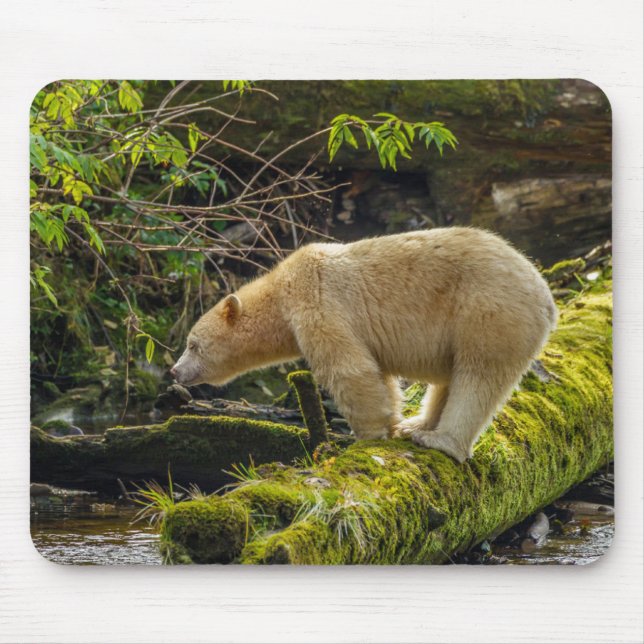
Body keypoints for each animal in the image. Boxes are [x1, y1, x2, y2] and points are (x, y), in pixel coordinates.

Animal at [170, 227, 557, 463]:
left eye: (193, 344)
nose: (174, 371)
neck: (280, 291)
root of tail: (545, 296)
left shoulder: (317, 301)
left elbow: (350, 369)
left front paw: (368, 437)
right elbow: (379, 374)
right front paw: (392, 424)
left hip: (488, 311)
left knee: (478, 376)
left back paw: (440, 440)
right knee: (451, 377)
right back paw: (417, 425)